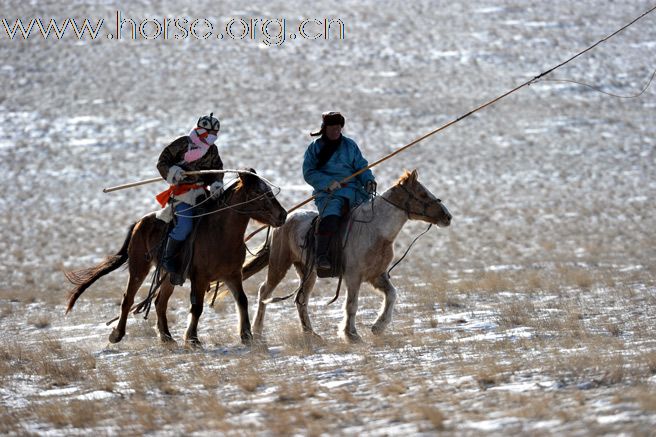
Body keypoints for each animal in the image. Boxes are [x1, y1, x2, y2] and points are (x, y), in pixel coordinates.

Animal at [66, 170, 288, 344]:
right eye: (258, 192)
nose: (282, 215)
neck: (220, 233)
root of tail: (140, 222)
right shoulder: (200, 278)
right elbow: (197, 307)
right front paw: (192, 339)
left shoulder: (233, 275)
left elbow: (242, 301)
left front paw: (247, 335)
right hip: (139, 267)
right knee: (128, 299)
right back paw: (117, 335)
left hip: (169, 275)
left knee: (159, 303)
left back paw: (166, 336)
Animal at [241, 169, 452, 342]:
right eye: (423, 193)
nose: (447, 217)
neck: (375, 231)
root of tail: (284, 221)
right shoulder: (353, 277)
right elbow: (352, 305)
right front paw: (351, 335)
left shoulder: (377, 276)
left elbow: (392, 295)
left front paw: (378, 327)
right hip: (279, 265)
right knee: (265, 292)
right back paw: (257, 331)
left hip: (308, 273)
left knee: (301, 300)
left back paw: (311, 333)